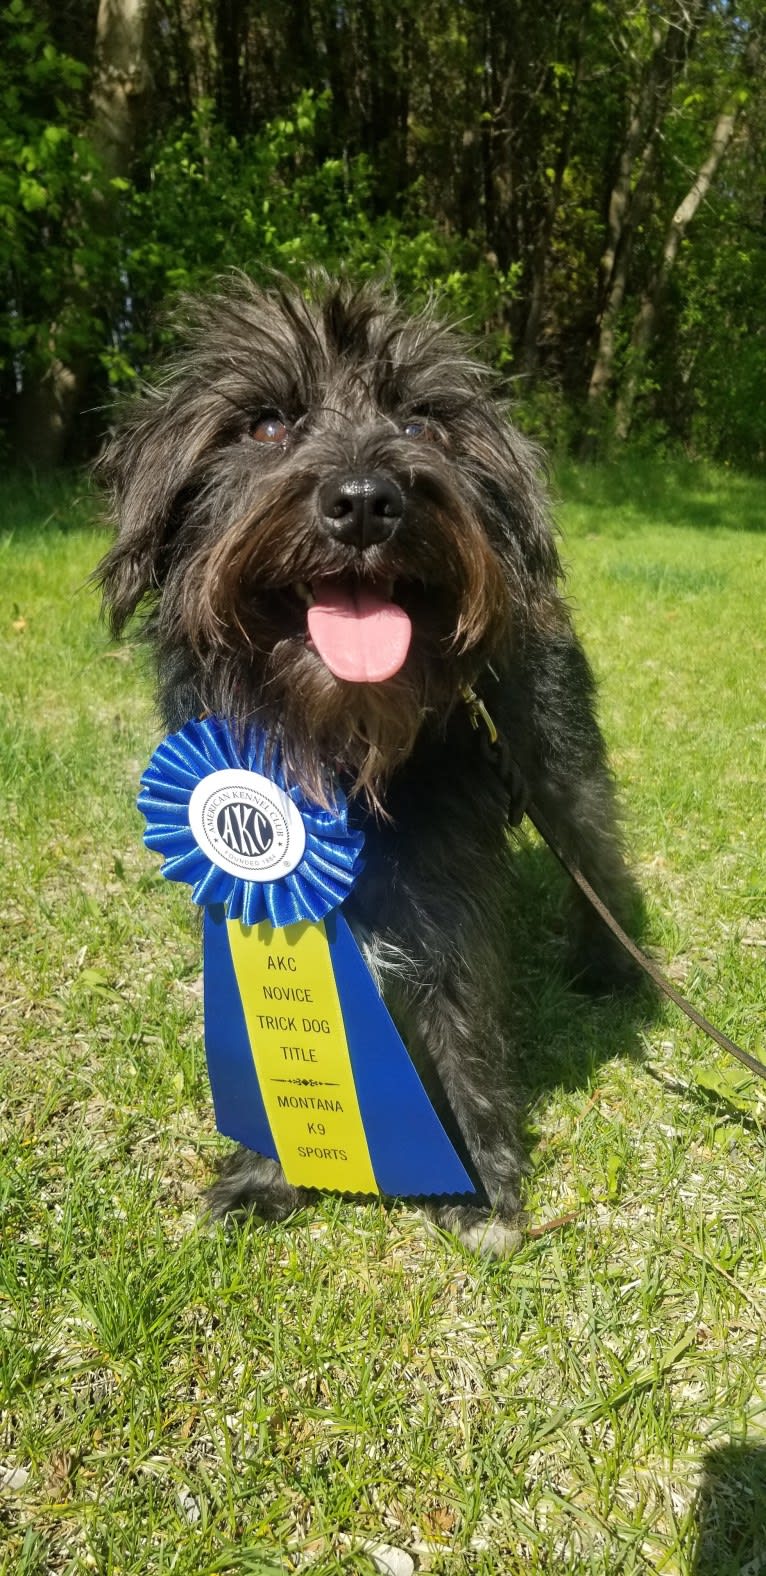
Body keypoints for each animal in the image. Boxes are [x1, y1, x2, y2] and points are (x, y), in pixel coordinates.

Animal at [95, 274, 633, 1254]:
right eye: (267, 424)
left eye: (421, 423)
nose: (365, 501)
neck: (340, 747)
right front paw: (267, 1171)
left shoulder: (444, 881)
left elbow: (461, 1014)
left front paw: (481, 1178)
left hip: (561, 768)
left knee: (597, 857)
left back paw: (608, 963)